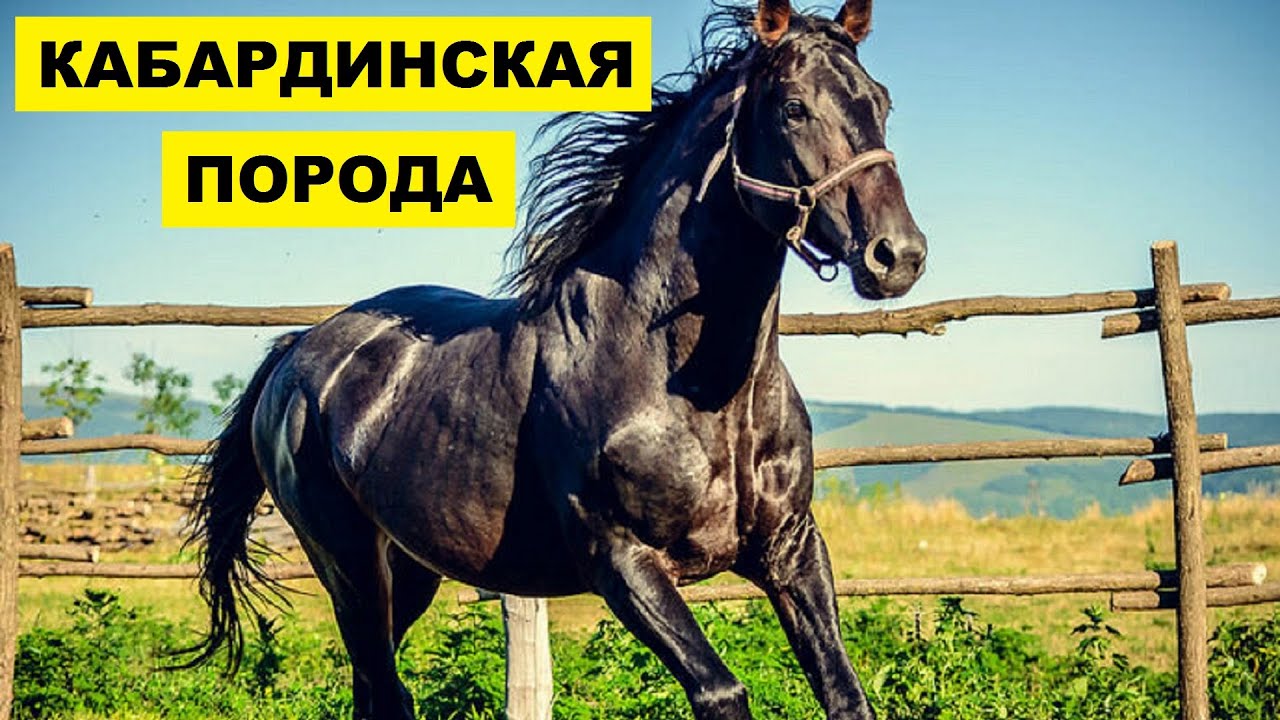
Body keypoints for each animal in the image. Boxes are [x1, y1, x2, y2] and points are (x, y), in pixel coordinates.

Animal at [182, 2, 927, 718]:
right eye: (793, 107)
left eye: (882, 101)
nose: (898, 255)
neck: (693, 391)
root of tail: (298, 353)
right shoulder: (623, 562)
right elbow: (721, 692)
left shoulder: (791, 550)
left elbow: (844, 692)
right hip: (348, 565)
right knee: (384, 689)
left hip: (412, 569)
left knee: (376, 688)